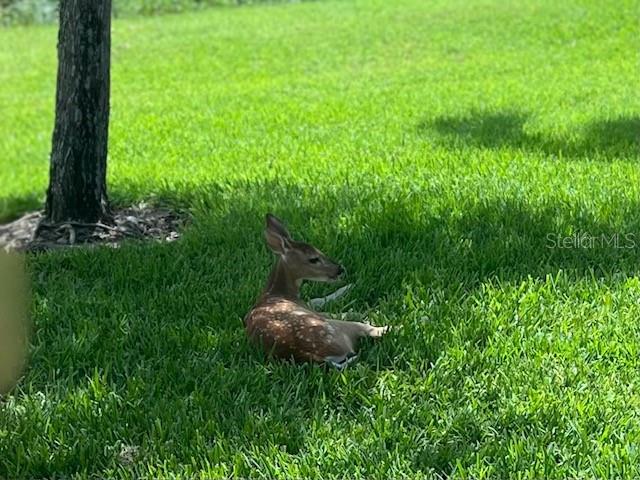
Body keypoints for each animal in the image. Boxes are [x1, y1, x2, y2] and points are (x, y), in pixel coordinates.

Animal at [242, 212, 388, 370]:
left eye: (319, 251)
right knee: (372, 330)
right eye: (313, 259)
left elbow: (317, 299)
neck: (278, 293)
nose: (339, 269)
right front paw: (354, 296)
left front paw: (349, 286)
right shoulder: (310, 309)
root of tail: (316, 357)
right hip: (333, 327)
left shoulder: (305, 303)